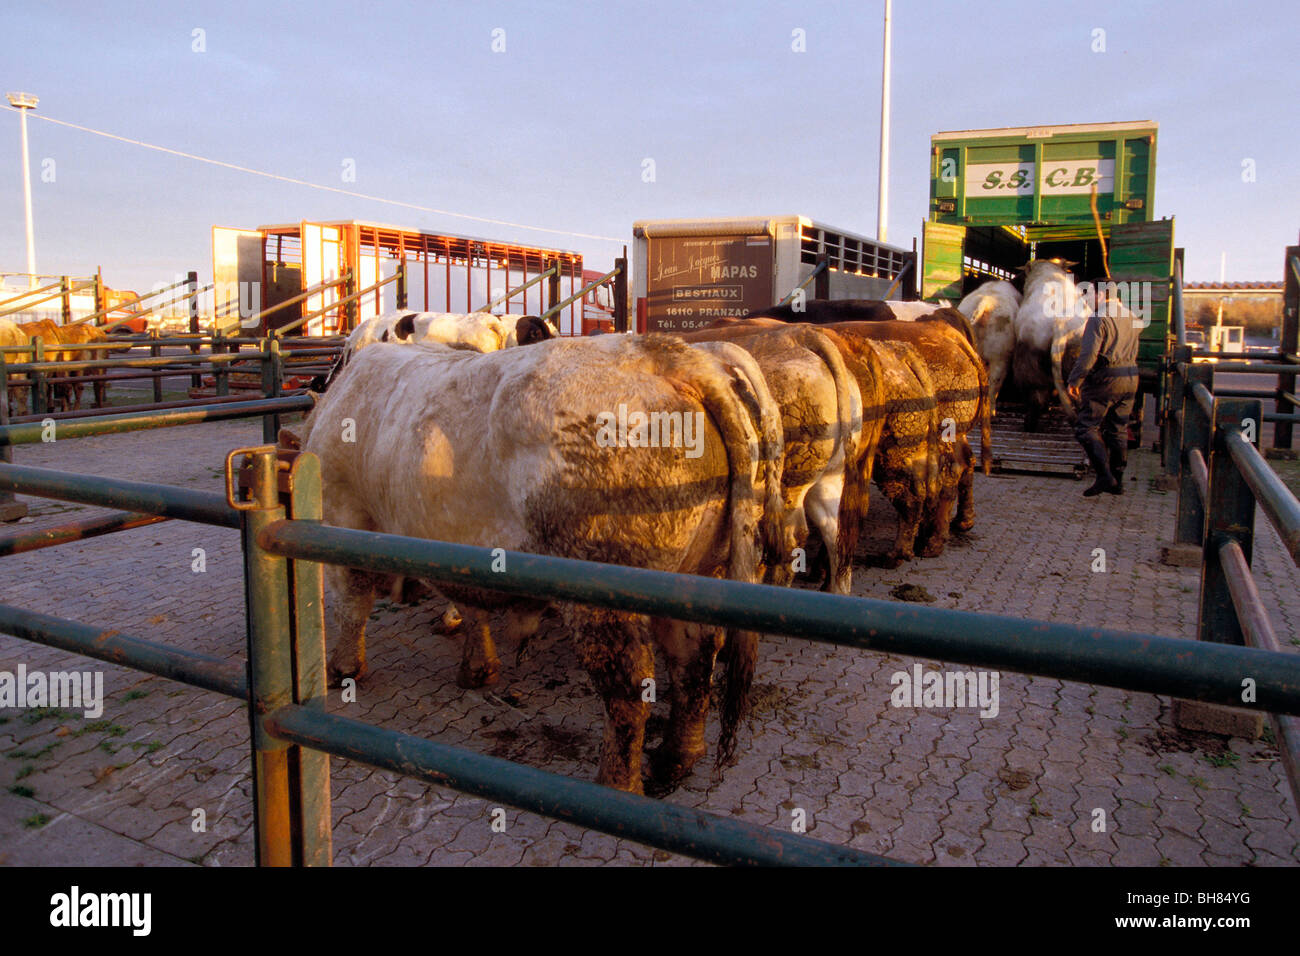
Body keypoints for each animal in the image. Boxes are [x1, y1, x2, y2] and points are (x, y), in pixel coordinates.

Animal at [289, 332, 780, 796]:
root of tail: (663, 353)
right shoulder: (463, 546)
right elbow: (471, 608)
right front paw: (477, 667)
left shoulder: (345, 519)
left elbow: (352, 604)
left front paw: (343, 669)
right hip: (698, 578)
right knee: (693, 661)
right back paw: (678, 755)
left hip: (601, 595)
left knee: (629, 687)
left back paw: (616, 783)